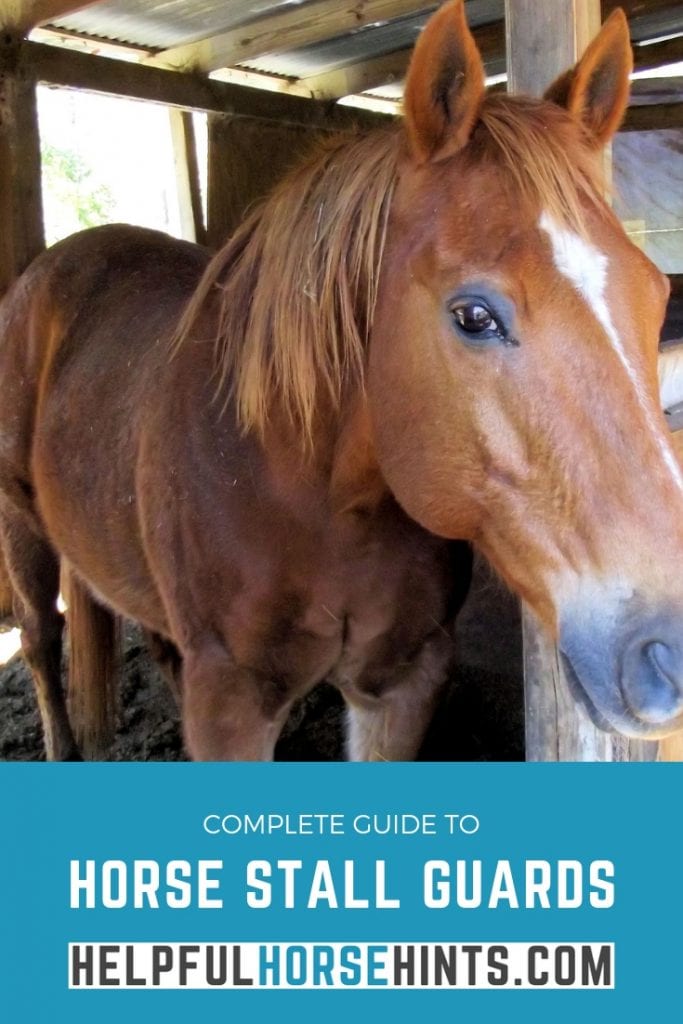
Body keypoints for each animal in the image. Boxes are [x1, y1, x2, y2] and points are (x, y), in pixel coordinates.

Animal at [1, 0, 683, 761]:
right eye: (473, 315)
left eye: (655, 293)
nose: (670, 653)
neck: (312, 496)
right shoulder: (230, 704)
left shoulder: (403, 680)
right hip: (21, 526)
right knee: (41, 635)